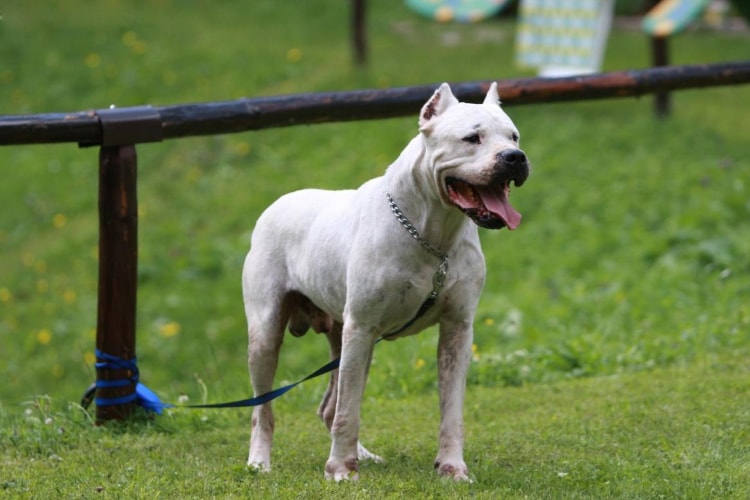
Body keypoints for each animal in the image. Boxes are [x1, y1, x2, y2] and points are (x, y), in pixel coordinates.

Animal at [244, 82, 532, 480]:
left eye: (514, 136)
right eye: (472, 138)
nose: (515, 157)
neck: (432, 234)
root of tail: (275, 205)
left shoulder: (457, 329)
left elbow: (452, 411)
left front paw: (452, 467)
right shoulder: (362, 327)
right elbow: (349, 410)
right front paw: (340, 471)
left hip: (345, 339)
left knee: (330, 406)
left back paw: (363, 455)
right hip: (268, 336)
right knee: (266, 409)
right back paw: (260, 461)